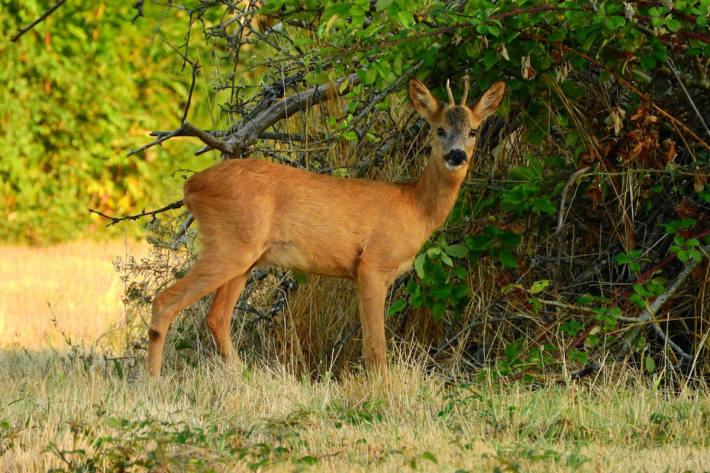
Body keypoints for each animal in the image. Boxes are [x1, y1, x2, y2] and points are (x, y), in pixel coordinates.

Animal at [149, 79, 506, 378]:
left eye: (474, 131)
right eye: (439, 129)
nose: (456, 156)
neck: (415, 207)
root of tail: (191, 186)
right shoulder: (372, 264)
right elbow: (376, 346)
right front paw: (382, 393)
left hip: (245, 257)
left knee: (216, 317)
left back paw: (244, 377)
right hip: (229, 245)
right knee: (165, 301)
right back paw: (154, 383)